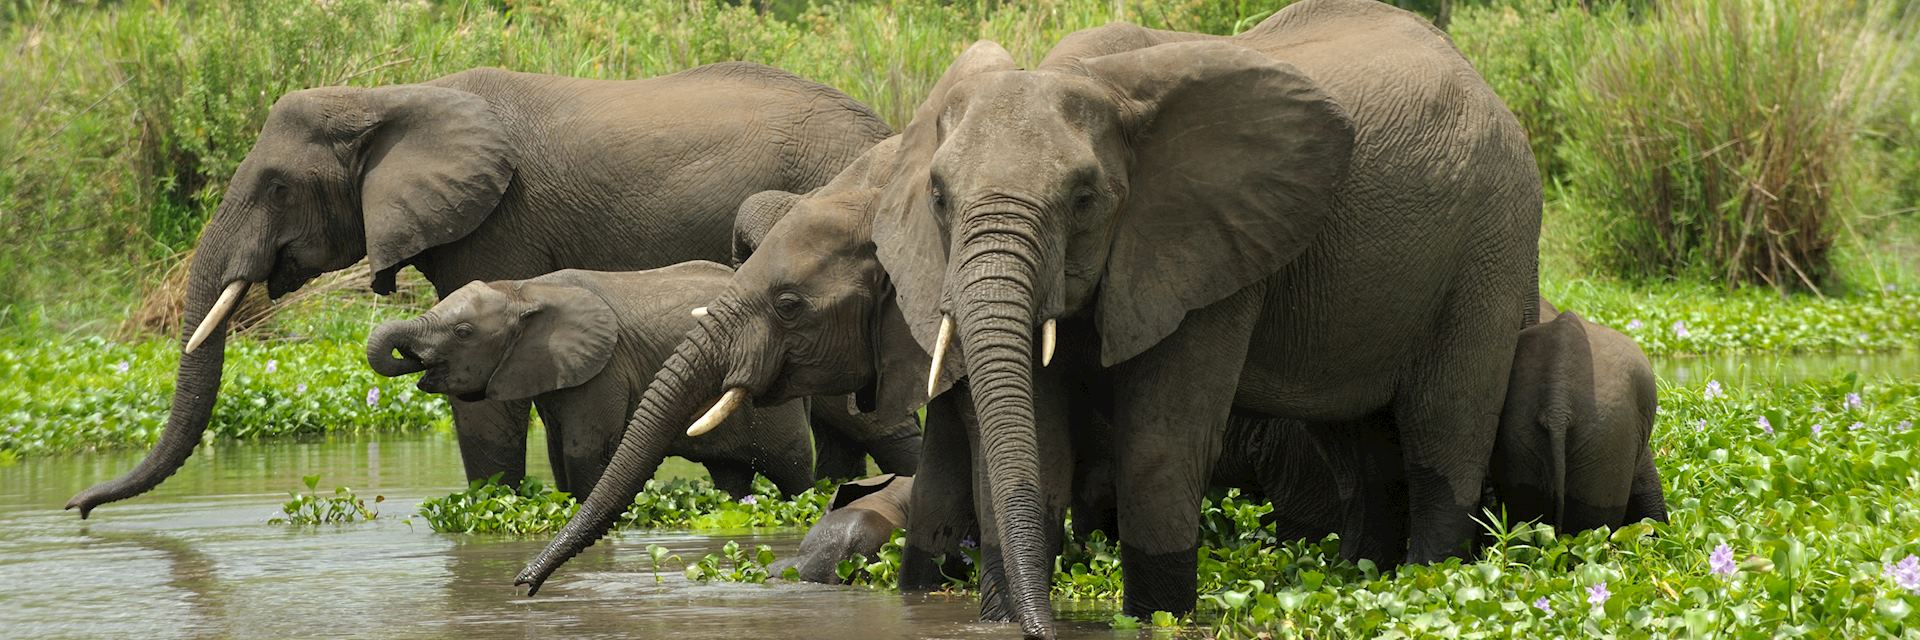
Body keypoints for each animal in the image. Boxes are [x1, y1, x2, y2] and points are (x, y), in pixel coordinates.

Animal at [366, 261, 833, 495]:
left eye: (463, 333)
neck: (524, 289)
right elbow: (557, 456)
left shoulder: (603, 369)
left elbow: (583, 450)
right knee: (730, 477)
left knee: (792, 469)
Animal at [871, 0, 1543, 626]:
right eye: (938, 197)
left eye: (1084, 199)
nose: (1039, 625)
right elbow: (1040, 437)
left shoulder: (1207, 248)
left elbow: (1160, 443)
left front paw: (1155, 618)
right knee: (1366, 453)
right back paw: (1370, 582)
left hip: (1491, 242)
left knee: (1444, 431)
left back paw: (1433, 584)